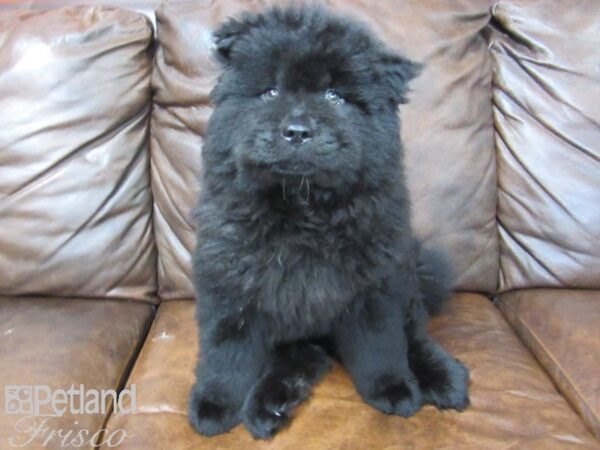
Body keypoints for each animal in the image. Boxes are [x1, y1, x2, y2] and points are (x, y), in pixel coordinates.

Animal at [188, 7, 468, 440]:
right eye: (271, 92)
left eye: (335, 96)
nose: (297, 131)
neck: (303, 208)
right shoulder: (231, 283)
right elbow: (226, 353)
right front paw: (214, 405)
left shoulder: (374, 285)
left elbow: (380, 345)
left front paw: (394, 389)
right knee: (302, 358)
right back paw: (270, 406)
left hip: (405, 279)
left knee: (415, 334)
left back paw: (445, 379)